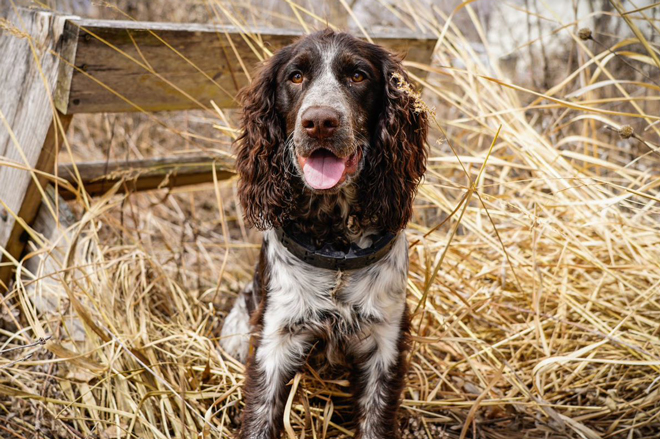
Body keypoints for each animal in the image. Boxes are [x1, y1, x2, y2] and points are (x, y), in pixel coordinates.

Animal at [220, 29, 428, 438]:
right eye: (296, 76)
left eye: (358, 76)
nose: (319, 121)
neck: (336, 245)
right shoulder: (274, 340)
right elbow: (259, 416)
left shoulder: (385, 342)